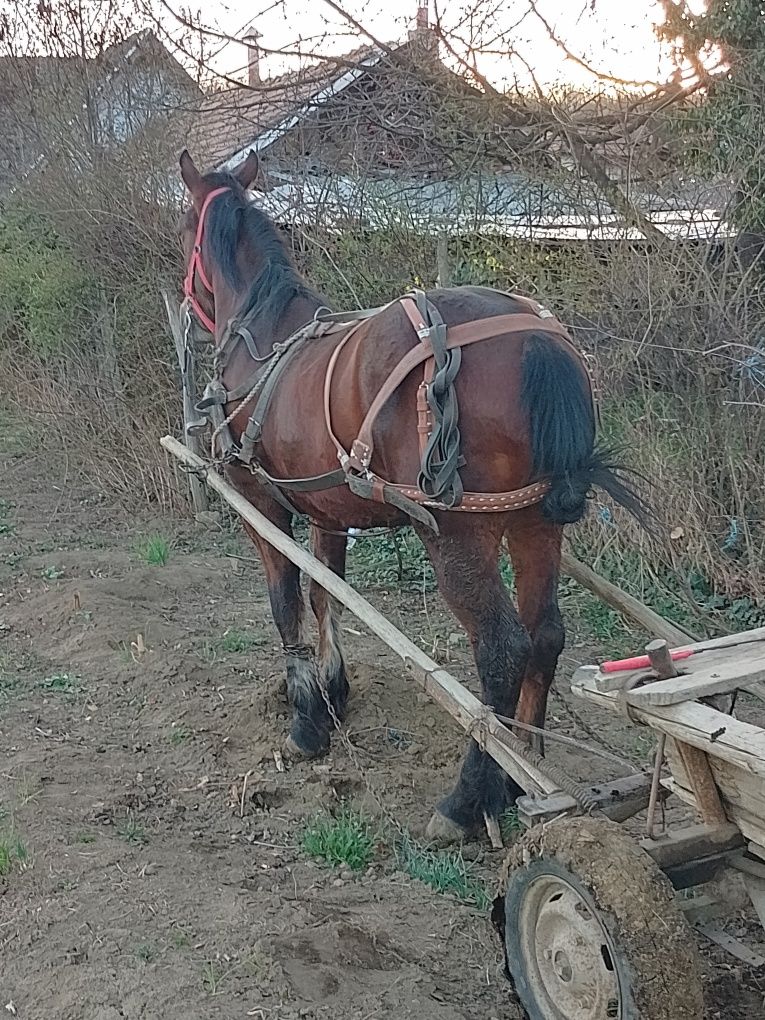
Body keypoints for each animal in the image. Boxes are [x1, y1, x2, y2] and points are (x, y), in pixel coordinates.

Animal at [176, 147, 644, 840]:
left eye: (185, 229)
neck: (264, 336)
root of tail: (537, 338)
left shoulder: (261, 503)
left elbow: (286, 603)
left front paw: (305, 720)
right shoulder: (327, 510)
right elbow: (326, 597)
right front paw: (333, 692)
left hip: (458, 534)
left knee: (502, 650)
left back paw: (468, 800)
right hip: (534, 521)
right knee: (545, 635)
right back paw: (519, 775)